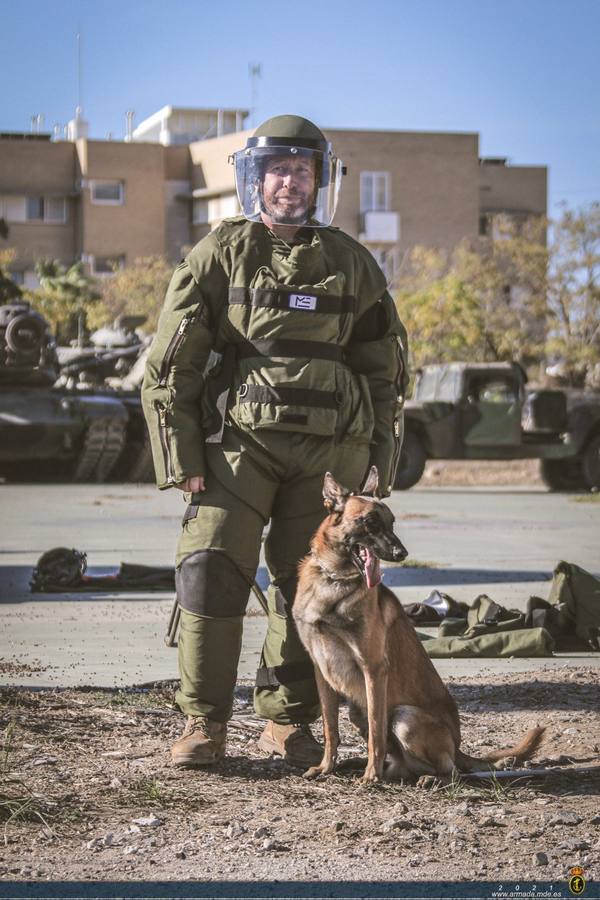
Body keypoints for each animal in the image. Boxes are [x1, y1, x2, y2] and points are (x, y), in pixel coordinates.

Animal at [292, 468, 548, 784]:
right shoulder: (321, 671)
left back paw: (426, 778)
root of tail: (457, 745)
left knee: (450, 770)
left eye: (392, 522)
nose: (402, 553)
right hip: (357, 711)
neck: (333, 579)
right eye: (369, 522)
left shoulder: (374, 669)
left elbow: (376, 731)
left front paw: (370, 775)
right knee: (402, 764)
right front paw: (327, 767)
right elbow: (330, 728)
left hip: (405, 717)